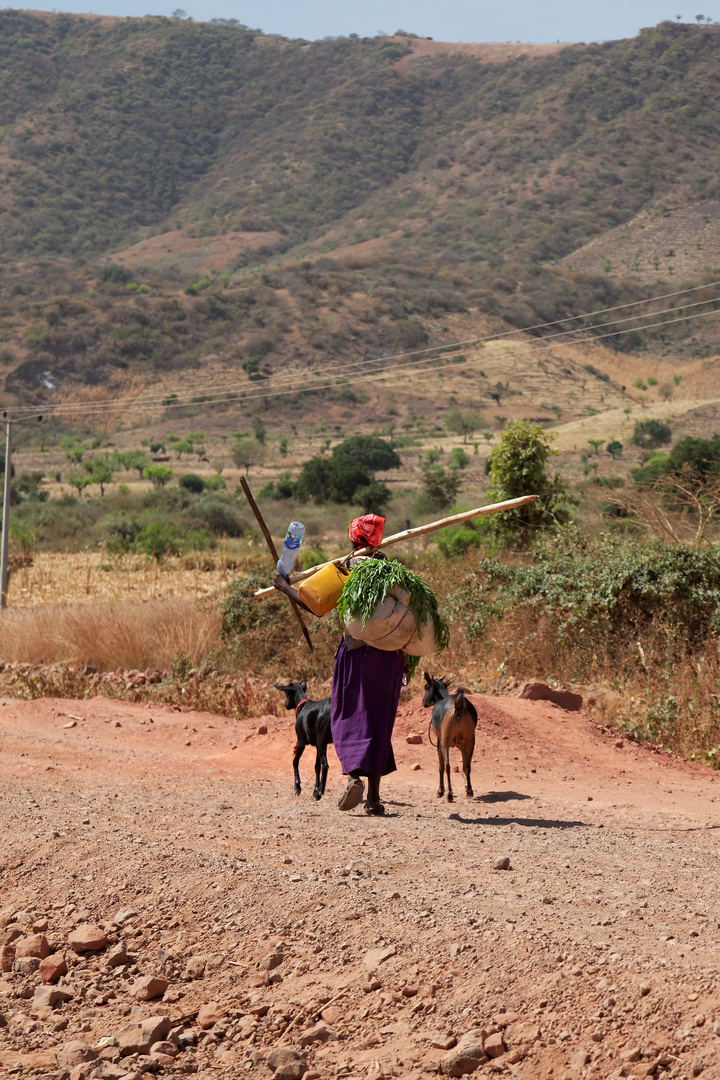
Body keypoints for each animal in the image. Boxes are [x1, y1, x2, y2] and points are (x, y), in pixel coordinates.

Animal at [423, 673, 479, 803]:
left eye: (426, 688)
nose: (423, 702)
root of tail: (458, 705)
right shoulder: (462, 746)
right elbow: (464, 767)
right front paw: (467, 788)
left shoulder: (439, 742)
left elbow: (441, 766)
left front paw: (440, 791)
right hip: (470, 741)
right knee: (468, 766)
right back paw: (469, 792)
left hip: (445, 742)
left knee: (448, 766)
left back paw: (449, 794)